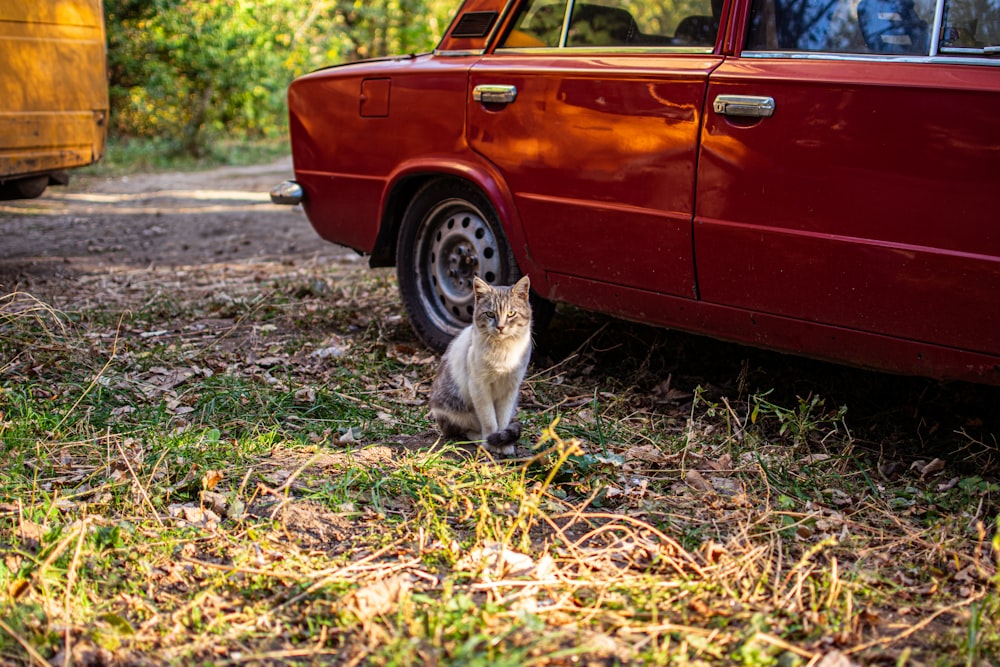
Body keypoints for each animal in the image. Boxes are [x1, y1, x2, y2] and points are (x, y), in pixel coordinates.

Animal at [434, 274, 536, 456]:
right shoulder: (479, 387)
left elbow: (502, 420)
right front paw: (489, 442)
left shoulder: (510, 389)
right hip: (452, 410)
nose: (500, 327)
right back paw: (478, 437)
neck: (502, 351)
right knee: (461, 430)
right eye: (490, 314)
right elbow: (489, 420)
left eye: (511, 313)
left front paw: (503, 445)